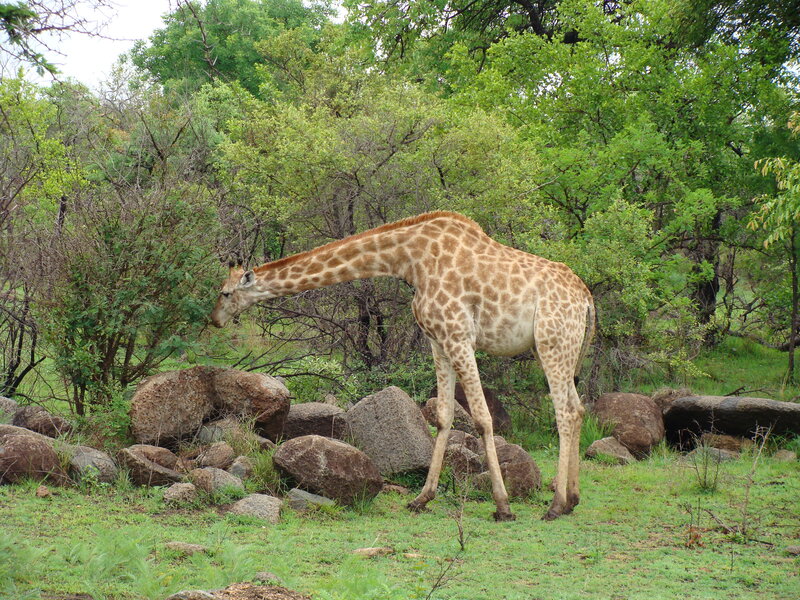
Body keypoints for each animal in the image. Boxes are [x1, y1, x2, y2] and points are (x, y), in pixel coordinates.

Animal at [210, 212, 595, 521]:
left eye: (226, 293)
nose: (214, 320)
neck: (409, 259)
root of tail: (587, 300)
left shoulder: (459, 336)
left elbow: (483, 418)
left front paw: (502, 506)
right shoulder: (438, 341)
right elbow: (444, 416)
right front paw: (422, 499)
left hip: (552, 342)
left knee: (564, 411)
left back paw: (555, 506)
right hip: (560, 348)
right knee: (577, 408)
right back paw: (572, 500)